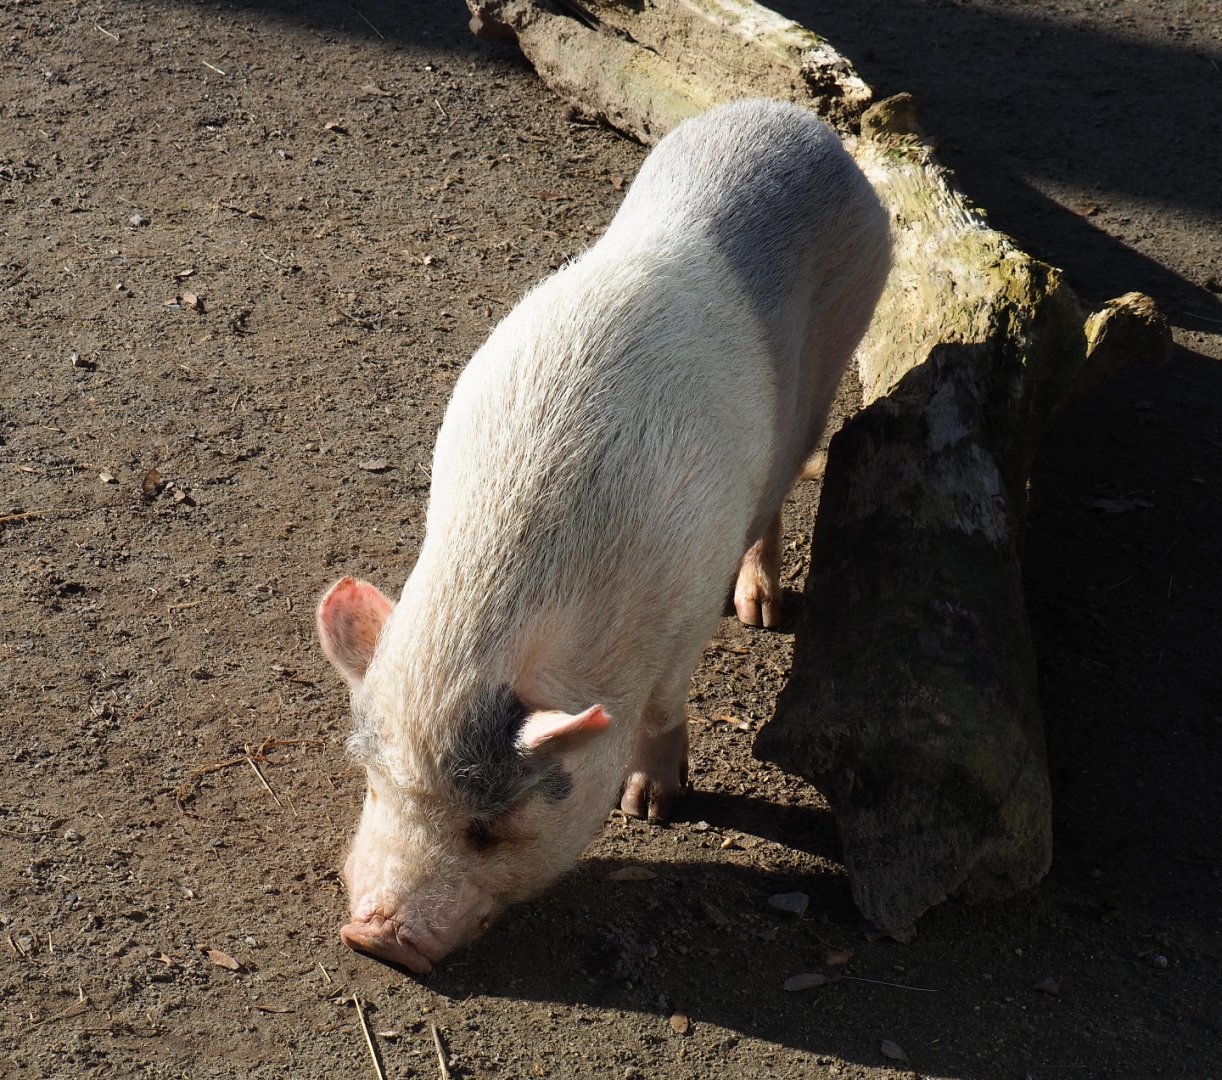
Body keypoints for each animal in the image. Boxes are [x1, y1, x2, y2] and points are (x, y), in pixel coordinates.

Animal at [317, 98, 891, 974]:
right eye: (377, 787)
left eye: (488, 830)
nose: (373, 938)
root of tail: (798, 119)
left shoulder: (684, 614)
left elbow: (663, 709)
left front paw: (650, 808)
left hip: (838, 351)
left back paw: (760, 611)